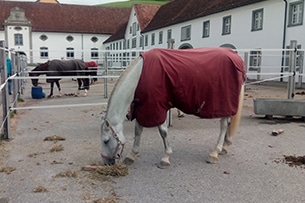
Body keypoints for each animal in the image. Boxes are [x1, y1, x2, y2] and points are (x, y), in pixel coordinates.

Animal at [101, 47, 246, 168]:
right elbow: (138, 130)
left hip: (224, 104)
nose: (106, 162)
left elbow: (163, 132)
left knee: (224, 125)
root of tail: (236, 58)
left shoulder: (156, 107)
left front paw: (166, 157)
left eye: (106, 141)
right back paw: (225, 147)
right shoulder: (144, 107)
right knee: (228, 124)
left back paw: (215, 152)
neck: (140, 75)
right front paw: (131, 155)